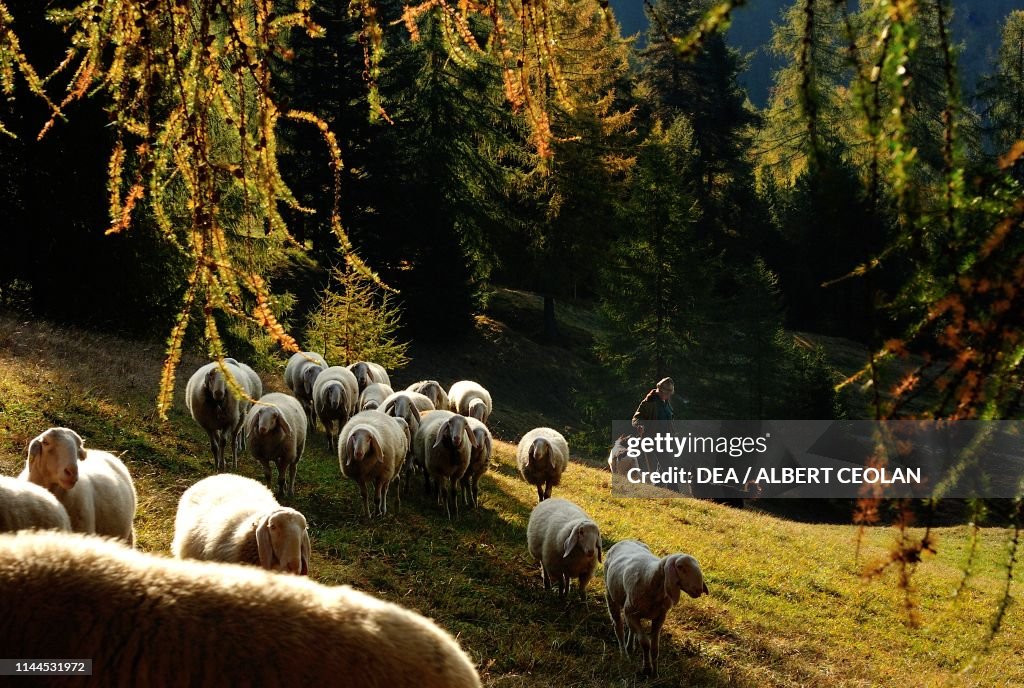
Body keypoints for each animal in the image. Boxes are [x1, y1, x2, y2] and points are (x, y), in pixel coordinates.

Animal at [602, 536, 708, 675]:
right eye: (680, 567)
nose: (699, 590)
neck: (651, 580)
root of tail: (627, 540)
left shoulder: (659, 617)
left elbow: (655, 647)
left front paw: (656, 672)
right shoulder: (631, 614)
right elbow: (645, 643)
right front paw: (647, 669)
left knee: (630, 628)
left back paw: (630, 647)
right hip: (611, 596)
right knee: (618, 627)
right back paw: (624, 655)